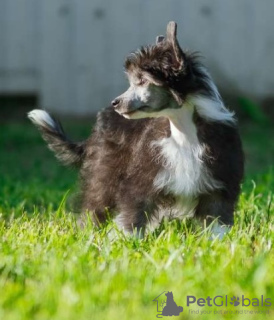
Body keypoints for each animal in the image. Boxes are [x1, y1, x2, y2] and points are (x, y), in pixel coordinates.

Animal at [28, 21, 244, 238]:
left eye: (142, 80)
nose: (115, 103)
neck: (183, 133)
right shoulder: (142, 182)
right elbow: (132, 213)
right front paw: (126, 240)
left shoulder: (218, 187)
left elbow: (217, 222)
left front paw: (220, 242)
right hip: (104, 170)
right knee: (94, 204)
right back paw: (87, 234)